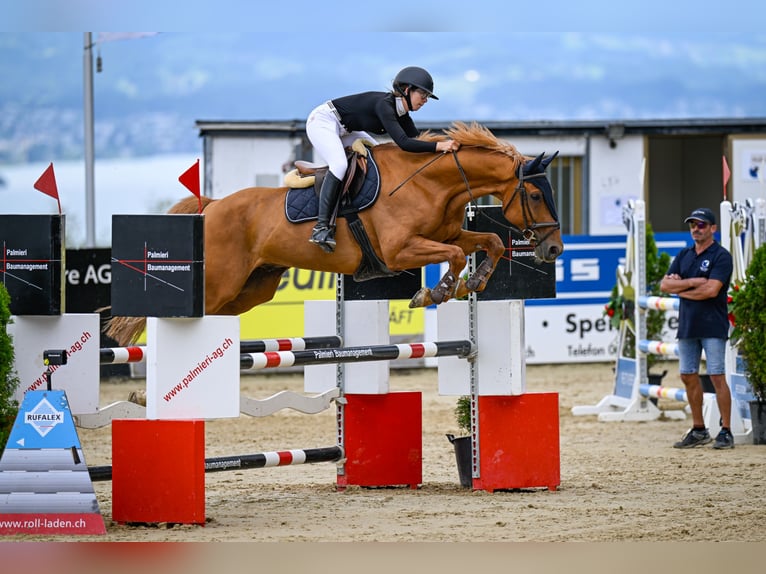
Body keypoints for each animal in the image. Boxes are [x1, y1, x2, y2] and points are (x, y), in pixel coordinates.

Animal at [106, 122, 564, 346]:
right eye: (535, 194)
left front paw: (476, 280)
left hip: (250, 290)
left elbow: (489, 242)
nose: (555, 248)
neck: (430, 183)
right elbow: (451, 256)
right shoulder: (400, 251)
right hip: (220, 282)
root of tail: (214, 205)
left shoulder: (447, 234)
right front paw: (435, 292)